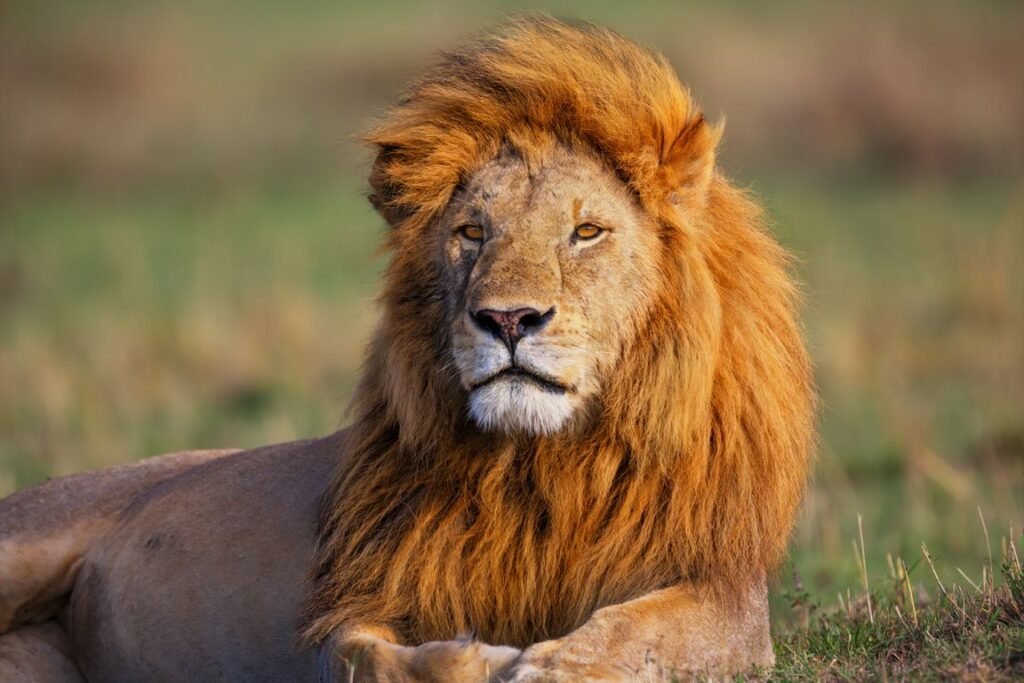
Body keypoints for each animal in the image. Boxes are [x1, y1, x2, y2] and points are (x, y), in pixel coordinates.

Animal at [0, 17, 815, 682]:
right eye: (472, 232)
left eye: (586, 232)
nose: (508, 319)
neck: (540, 465)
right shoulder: (361, 594)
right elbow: (366, 655)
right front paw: (479, 659)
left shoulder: (724, 592)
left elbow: (633, 633)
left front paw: (547, 666)